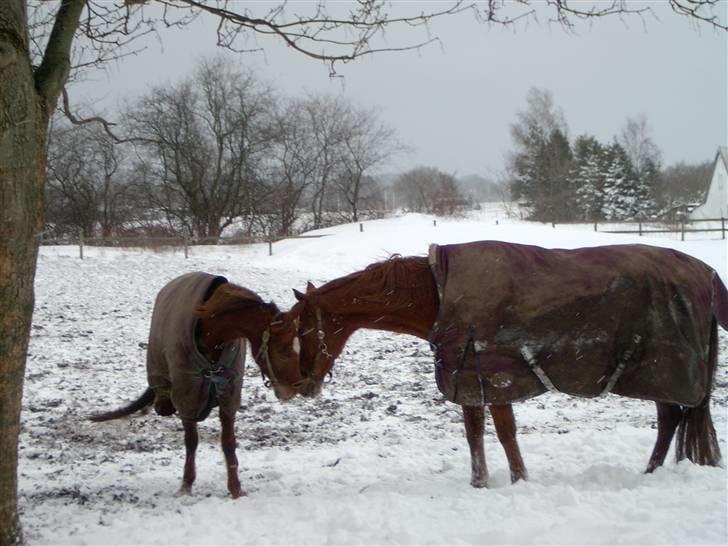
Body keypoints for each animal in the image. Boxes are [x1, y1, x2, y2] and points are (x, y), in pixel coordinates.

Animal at [90, 270, 302, 496]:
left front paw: (235, 489)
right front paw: (186, 485)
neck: (212, 333)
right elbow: (191, 440)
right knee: (163, 401)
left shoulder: (228, 395)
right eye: (283, 349)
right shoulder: (188, 398)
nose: (296, 387)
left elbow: (228, 442)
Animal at [288, 242, 724, 484]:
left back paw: (650, 473)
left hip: (663, 371)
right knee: (672, 419)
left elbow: (504, 434)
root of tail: (704, 273)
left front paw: (519, 479)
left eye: (302, 330)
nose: (301, 384)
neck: (438, 294)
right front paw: (479, 483)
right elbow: (475, 434)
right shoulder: (468, 378)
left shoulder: (494, 377)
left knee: (669, 420)